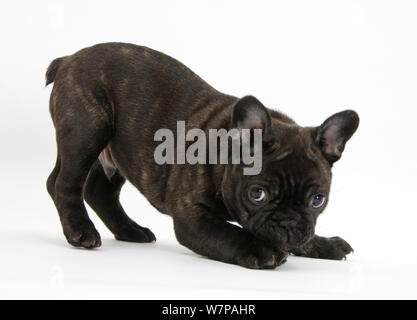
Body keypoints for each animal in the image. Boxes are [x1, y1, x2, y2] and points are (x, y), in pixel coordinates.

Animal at [45, 42, 358, 268]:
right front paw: (261, 249)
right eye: (257, 194)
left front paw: (323, 244)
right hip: (88, 130)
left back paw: (130, 231)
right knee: (65, 183)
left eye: (318, 200)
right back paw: (81, 231)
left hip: (116, 151)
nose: (288, 223)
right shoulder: (192, 216)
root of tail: (68, 60)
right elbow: (228, 234)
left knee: (99, 191)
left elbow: (303, 236)